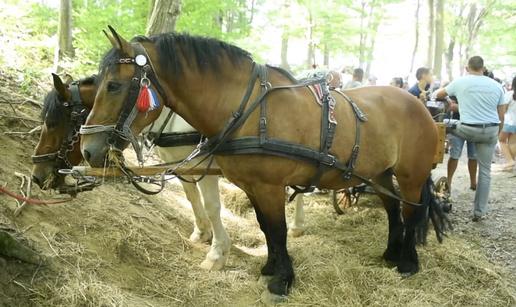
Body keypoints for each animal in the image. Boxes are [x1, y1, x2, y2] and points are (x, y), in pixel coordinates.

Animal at [79, 27, 448, 306]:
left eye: (113, 85)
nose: (87, 149)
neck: (248, 110)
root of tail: (419, 104)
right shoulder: (251, 185)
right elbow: (265, 228)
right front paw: (270, 268)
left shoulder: (270, 186)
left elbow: (278, 230)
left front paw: (281, 282)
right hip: (379, 173)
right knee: (393, 209)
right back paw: (390, 253)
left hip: (411, 175)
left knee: (412, 211)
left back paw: (407, 262)